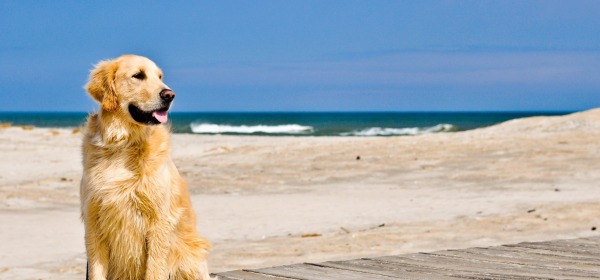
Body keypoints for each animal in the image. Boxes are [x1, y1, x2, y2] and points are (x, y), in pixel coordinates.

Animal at [80, 55, 213, 280]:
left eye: (160, 77)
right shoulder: (93, 221)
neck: (123, 144)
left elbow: (154, 270)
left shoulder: (159, 223)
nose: (169, 95)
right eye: (138, 75)